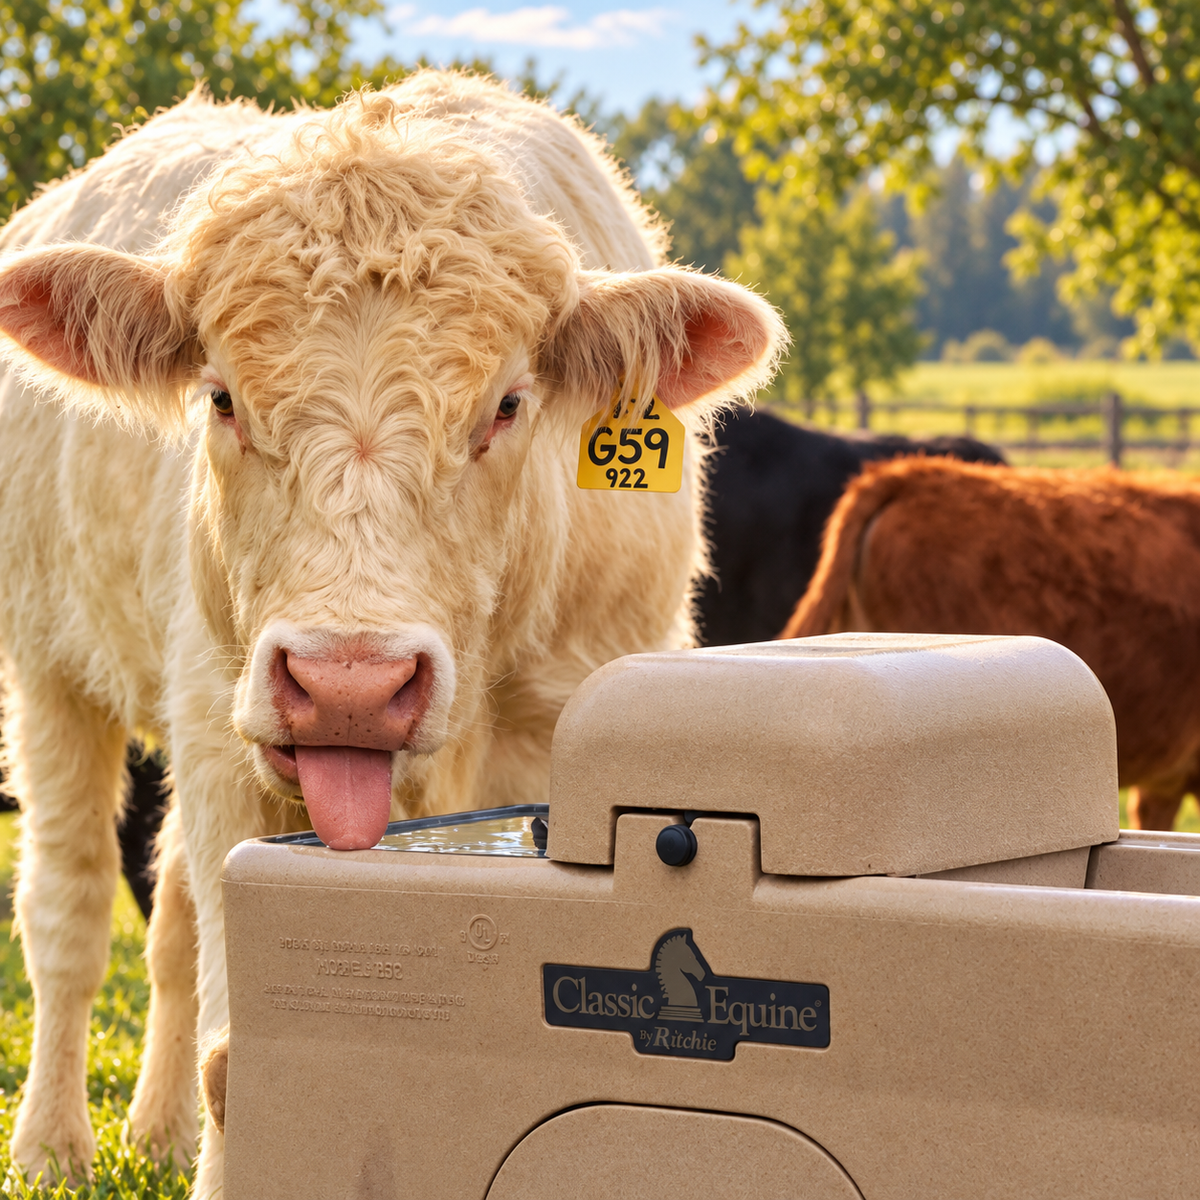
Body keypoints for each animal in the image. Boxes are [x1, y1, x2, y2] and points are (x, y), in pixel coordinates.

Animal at [0, 73, 784, 1194]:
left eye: (507, 405)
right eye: (222, 397)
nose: (349, 684)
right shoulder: (219, 738)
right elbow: (236, 1034)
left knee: (174, 915)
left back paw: (154, 1132)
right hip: (53, 669)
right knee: (70, 909)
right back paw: (53, 1143)